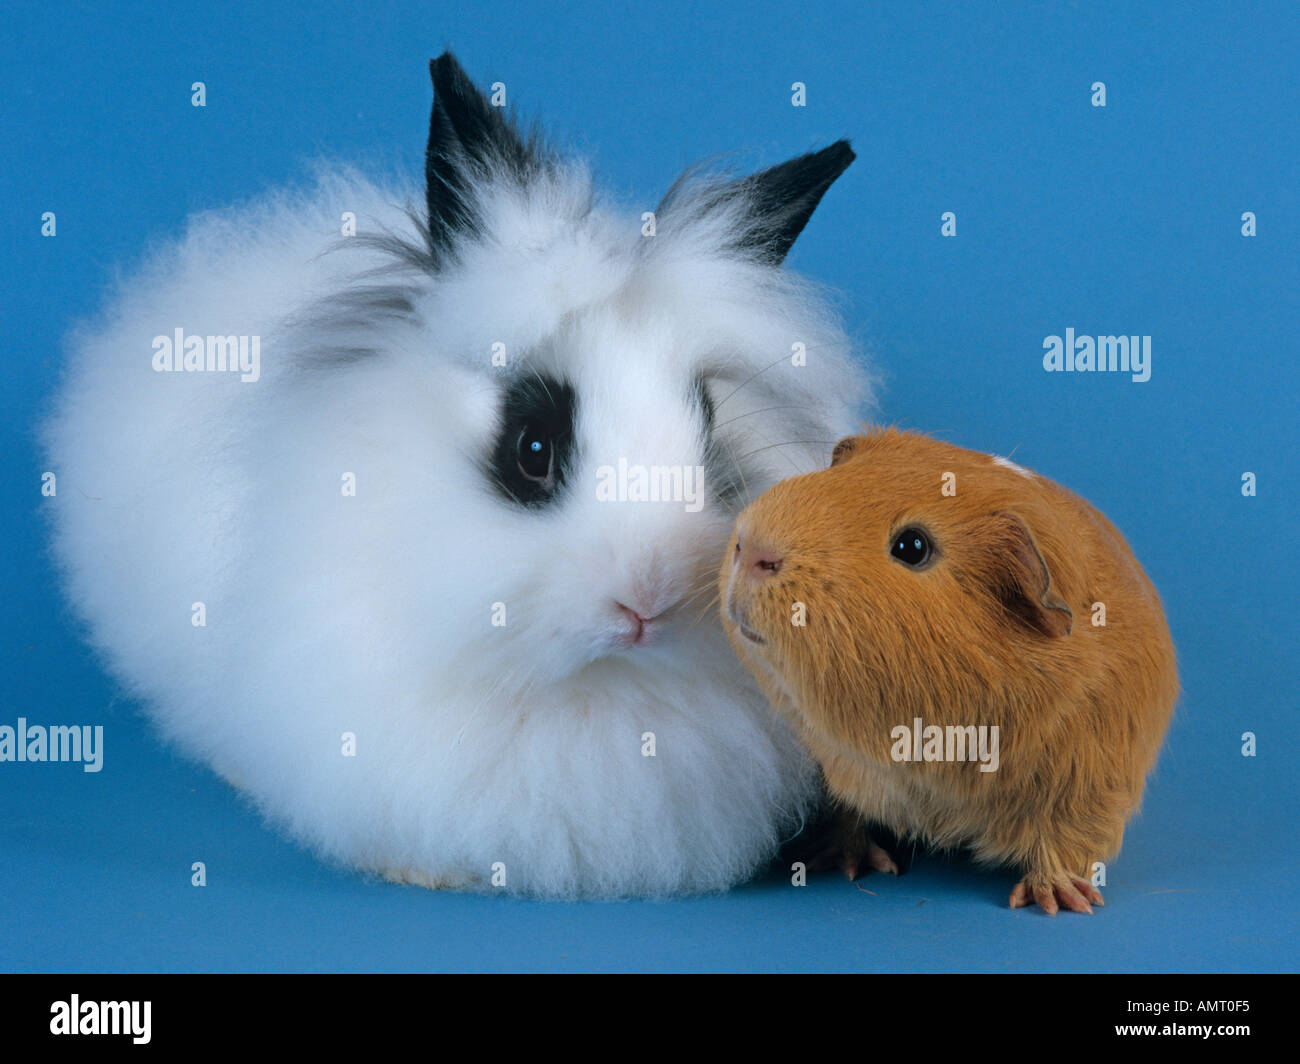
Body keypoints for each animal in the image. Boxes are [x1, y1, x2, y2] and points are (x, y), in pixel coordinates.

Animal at [720, 428, 1179, 913]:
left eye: (912, 546)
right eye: (831, 476)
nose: (751, 548)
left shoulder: (1089, 787)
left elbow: (1061, 845)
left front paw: (1059, 899)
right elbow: (848, 812)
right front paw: (844, 861)